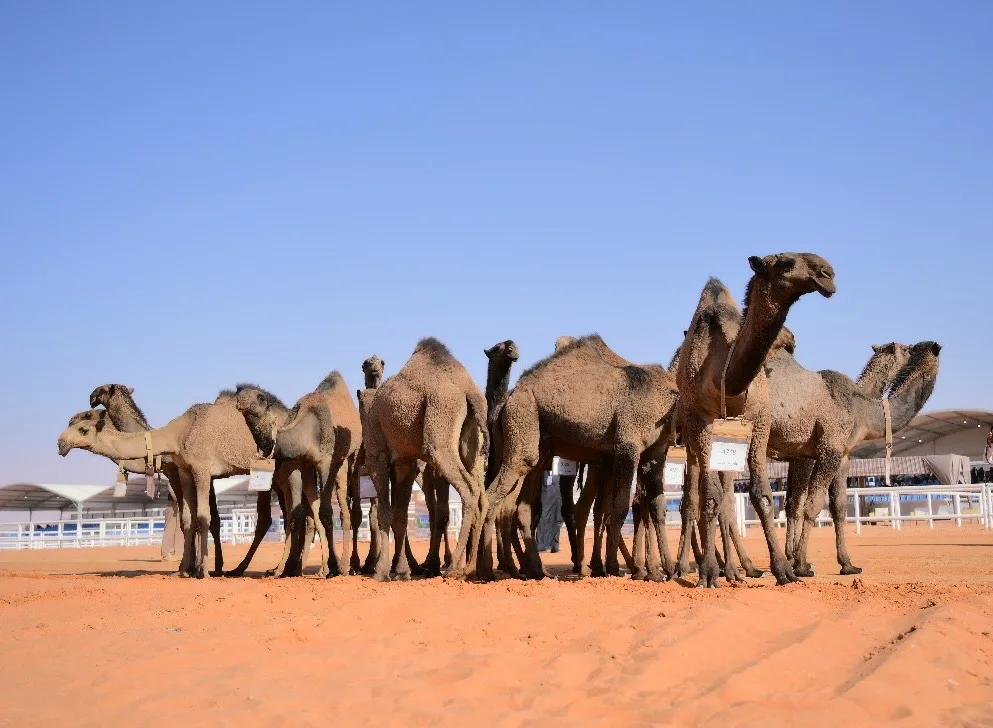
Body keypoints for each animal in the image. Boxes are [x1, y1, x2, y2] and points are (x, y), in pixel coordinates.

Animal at [58, 395, 260, 578]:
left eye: (83, 428)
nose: (61, 443)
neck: (178, 433)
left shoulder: (202, 470)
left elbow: (204, 518)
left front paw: (202, 571)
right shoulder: (185, 471)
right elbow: (188, 519)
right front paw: (184, 570)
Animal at [363, 337, 488, 582]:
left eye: (375, 362)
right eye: (366, 363)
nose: (372, 367)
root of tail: (469, 392)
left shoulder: (378, 456)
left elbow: (384, 513)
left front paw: (381, 571)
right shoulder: (405, 462)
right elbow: (400, 517)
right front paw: (402, 571)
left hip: (439, 431)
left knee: (468, 491)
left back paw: (452, 568)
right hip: (472, 445)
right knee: (481, 496)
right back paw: (469, 568)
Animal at [481, 335, 679, 581]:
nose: (512, 350)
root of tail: (508, 399)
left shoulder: (655, 451)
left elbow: (657, 505)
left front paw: (667, 569)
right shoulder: (628, 444)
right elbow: (618, 506)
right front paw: (613, 567)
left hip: (533, 442)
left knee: (516, 506)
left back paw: (531, 569)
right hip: (523, 418)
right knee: (495, 496)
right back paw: (486, 570)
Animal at [676, 253, 836, 587]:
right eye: (786, 263)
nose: (828, 274)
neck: (723, 377)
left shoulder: (760, 419)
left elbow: (761, 495)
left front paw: (785, 570)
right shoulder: (700, 421)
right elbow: (710, 498)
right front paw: (708, 573)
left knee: (721, 499)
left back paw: (736, 569)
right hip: (690, 441)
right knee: (694, 500)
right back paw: (687, 568)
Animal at [775, 340, 940, 575]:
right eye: (906, 349)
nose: (913, 348)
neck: (862, 410)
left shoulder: (841, 455)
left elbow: (838, 507)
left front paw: (846, 564)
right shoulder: (818, 453)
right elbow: (805, 504)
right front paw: (800, 563)